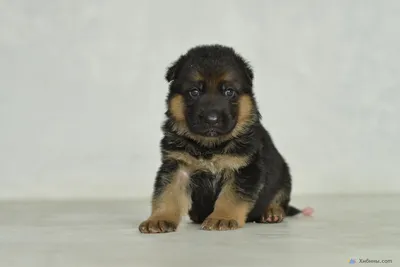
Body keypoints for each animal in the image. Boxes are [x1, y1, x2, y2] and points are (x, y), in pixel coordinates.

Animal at [138, 44, 306, 234]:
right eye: (194, 92)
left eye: (229, 92)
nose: (212, 119)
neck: (210, 146)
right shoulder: (177, 166)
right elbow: (168, 194)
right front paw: (159, 219)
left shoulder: (244, 168)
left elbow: (231, 197)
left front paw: (222, 218)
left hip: (283, 175)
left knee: (281, 199)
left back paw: (272, 212)